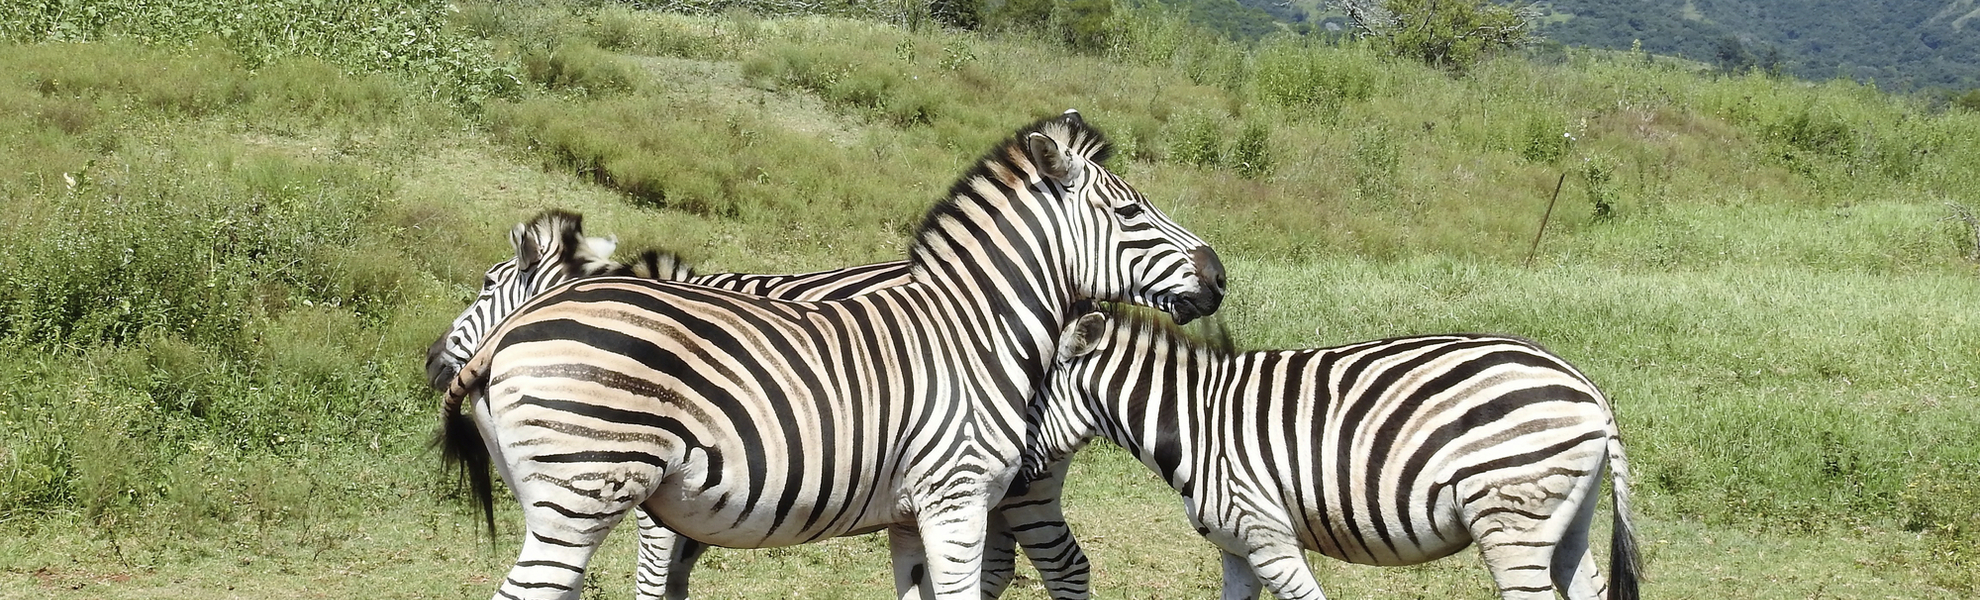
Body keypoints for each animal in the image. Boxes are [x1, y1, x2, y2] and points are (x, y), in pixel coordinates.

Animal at [426, 211, 1087, 599]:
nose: (433, 360)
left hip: (1016, 483)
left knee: (1061, 564)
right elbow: (676, 577)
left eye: (487, 286)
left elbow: (654, 578)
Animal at [1020, 306, 1642, 600]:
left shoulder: (1268, 537)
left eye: (1020, 393)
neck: (1196, 424)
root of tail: (1589, 392)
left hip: (1510, 520)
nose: (1018, 482)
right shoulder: (1236, 548)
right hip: (1564, 523)